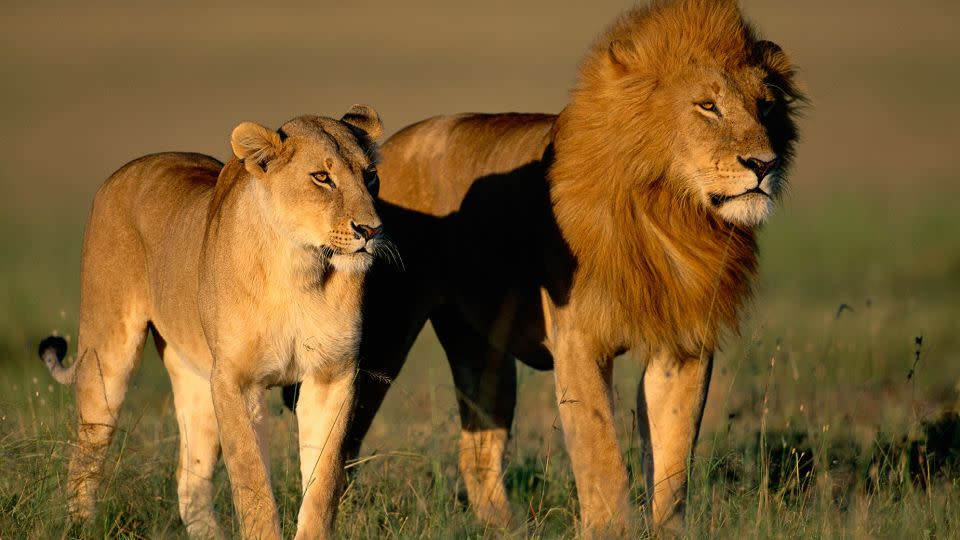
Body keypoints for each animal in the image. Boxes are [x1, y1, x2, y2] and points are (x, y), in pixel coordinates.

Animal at [40, 106, 386, 540]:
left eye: (370, 175)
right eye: (322, 177)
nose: (371, 230)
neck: (300, 268)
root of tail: (123, 171)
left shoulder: (332, 375)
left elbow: (323, 482)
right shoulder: (235, 381)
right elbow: (252, 482)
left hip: (195, 379)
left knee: (189, 482)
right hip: (108, 354)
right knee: (86, 452)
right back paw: (80, 525)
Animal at [336, 0, 804, 532]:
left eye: (766, 106)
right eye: (708, 106)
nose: (763, 164)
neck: (671, 213)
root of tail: (383, 152)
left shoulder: (683, 343)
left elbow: (673, 460)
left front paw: (667, 530)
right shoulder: (577, 340)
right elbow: (601, 454)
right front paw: (611, 529)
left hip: (482, 350)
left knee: (477, 452)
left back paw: (508, 531)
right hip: (382, 338)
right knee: (345, 440)